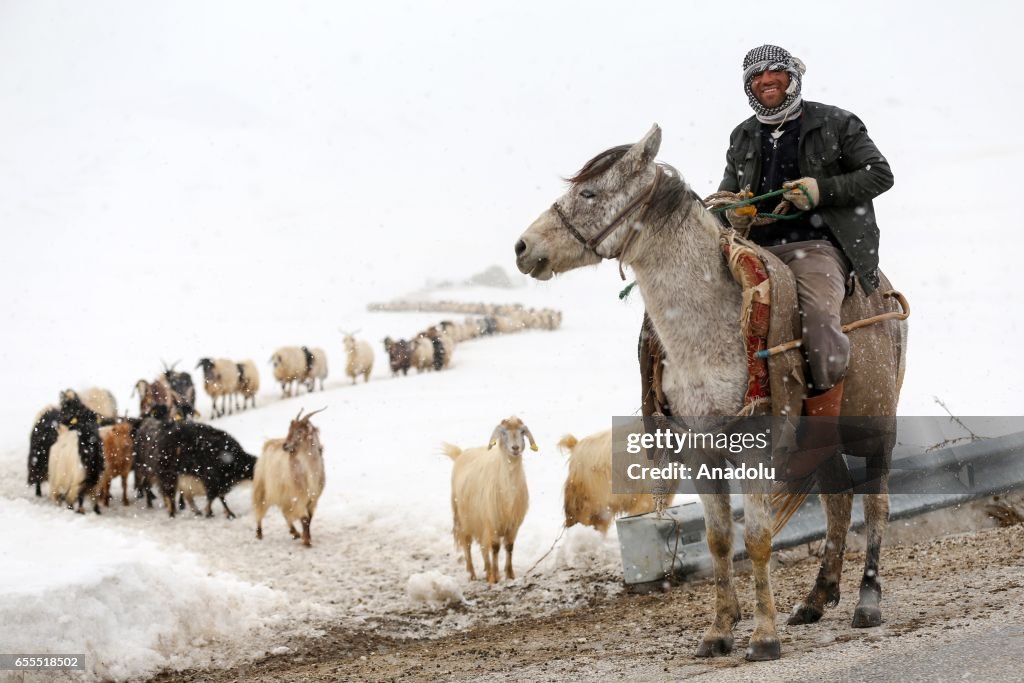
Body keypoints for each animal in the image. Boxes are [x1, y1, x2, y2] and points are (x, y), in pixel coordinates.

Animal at [251, 409, 323, 548]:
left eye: (299, 431)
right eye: (289, 429)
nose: (285, 446)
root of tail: (267, 444)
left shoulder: (313, 498)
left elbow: (309, 518)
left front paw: (307, 538)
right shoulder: (299, 496)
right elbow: (305, 519)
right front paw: (307, 542)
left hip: (285, 495)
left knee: (284, 512)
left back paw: (294, 532)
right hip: (262, 488)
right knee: (259, 508)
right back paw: (259, 533)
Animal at [442, 417, 540, 581]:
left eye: (522, 432)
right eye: (504, 433)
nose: (515, 448)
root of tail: (460, 454)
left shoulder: (513, 525)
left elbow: (509, 547)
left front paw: (509, 574)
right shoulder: (492, 522)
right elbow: (495, 548)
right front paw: (495, 577)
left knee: (482, 547)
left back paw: (487, 570)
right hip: (464, 519)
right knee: (467, 544)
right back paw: (473, 574)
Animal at [516, 124, 909, 663]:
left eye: (590, 193)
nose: (523, 247)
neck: (710, 333)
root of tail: (884, 291)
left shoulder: (756, 450)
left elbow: (758, 539)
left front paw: (763, 637)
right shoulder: (701, 452)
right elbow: (721, 540)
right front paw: (720, 631)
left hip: (875, 428)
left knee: (875, 505)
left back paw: (867, 603)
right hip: (820, 441)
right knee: (839, 501)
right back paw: (814, 600)